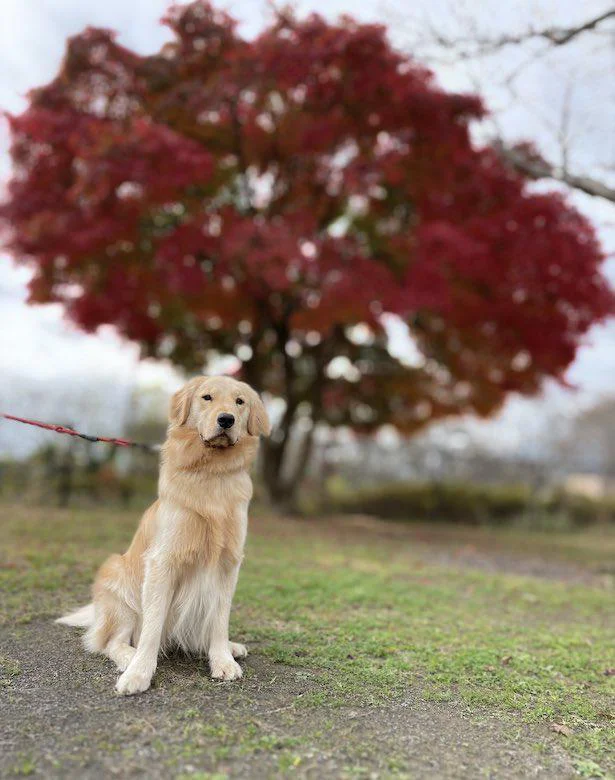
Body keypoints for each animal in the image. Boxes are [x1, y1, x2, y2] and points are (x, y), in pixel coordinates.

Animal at [56, 374, 272, 696]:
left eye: (239, 401)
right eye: (207, 397)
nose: (226, 419)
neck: (212, 473)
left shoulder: (228, 563)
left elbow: (220, 620)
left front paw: (221, 658)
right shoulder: (163, 561)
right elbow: (152, 625)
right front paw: (140, 672)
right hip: (118, 582)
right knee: (111, 642)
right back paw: (129, 657)